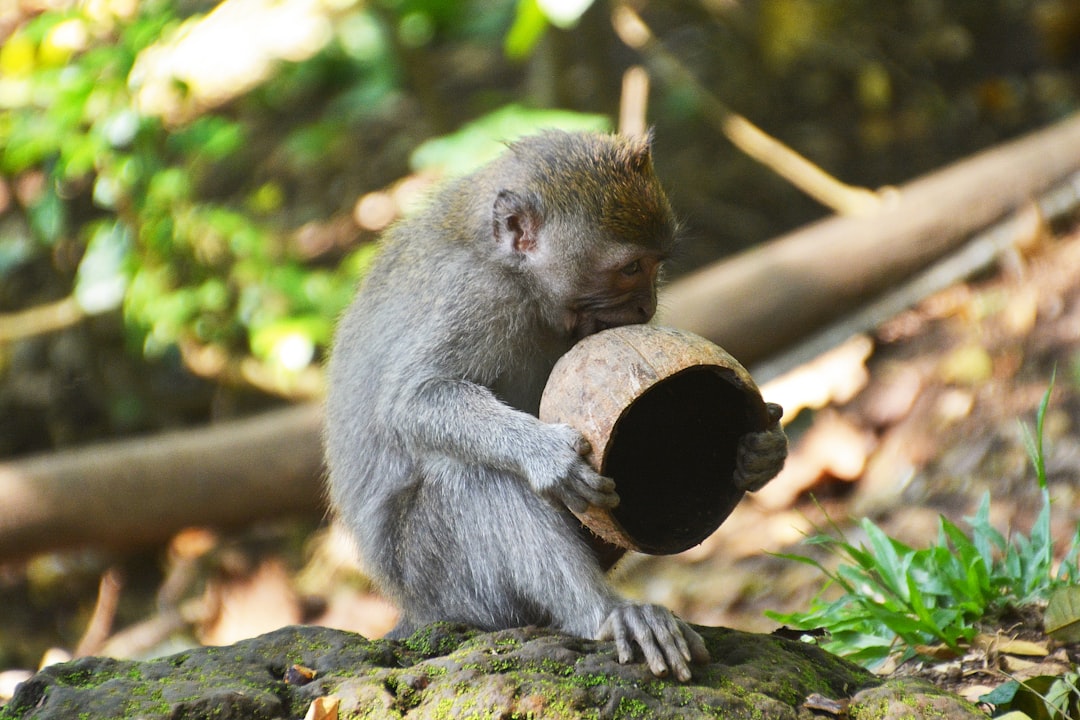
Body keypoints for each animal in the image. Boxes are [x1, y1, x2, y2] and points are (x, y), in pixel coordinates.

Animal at [319, 131, 786, 682]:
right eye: (631, 268)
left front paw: (760, 451)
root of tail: (414, 608)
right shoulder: (477, 297)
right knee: (470, 477)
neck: (518, 278)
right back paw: (605, 611)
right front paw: (550, 457)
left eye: (658, 265)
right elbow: (412, 400)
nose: (647, 306)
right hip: (439, 581)